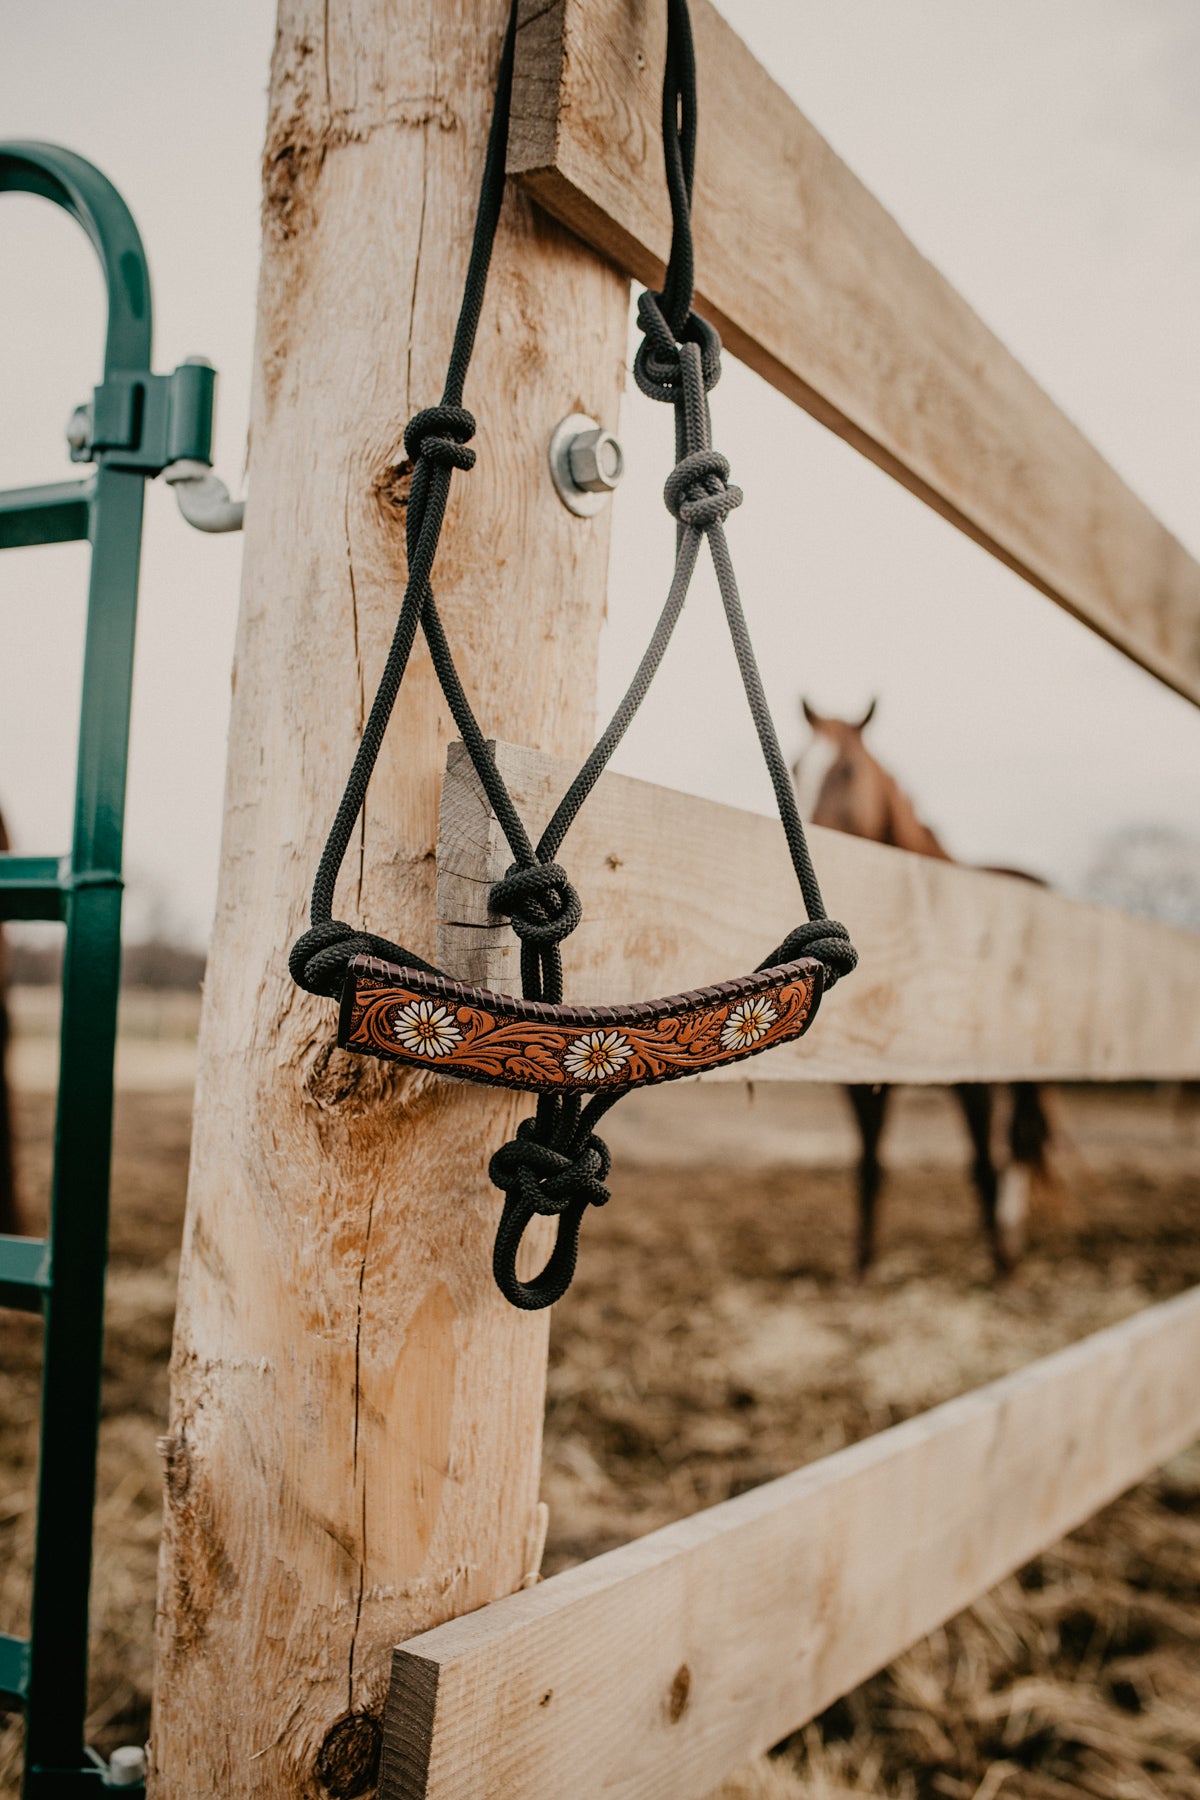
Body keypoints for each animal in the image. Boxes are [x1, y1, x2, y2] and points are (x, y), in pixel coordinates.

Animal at [798, 702, 1050, 1281]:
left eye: (848, 770)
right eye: (796, 768)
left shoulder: (974, 1078)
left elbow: (983, 1166)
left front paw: (999, 1267)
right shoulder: (863, 1081)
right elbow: (870, 1164)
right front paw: (863, 1265)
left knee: (1019, 1145)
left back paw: (1011, 1240)